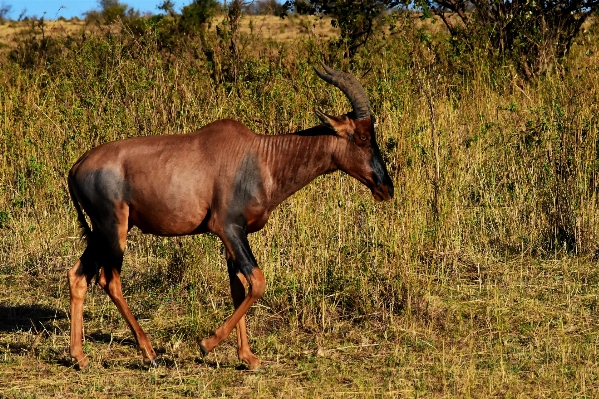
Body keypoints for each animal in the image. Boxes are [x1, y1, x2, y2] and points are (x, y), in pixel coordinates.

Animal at [68, 64, 396, 370]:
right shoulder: (228, 228)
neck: (262, 156)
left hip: (100, 232)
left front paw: (247, 357)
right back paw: (149, 354)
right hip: (115, 229)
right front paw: (206, 344)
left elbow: (239, 288)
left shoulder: (234, 236)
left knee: (78, 274)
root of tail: (76, 167)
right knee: (109, 279)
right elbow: (258, 281)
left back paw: (80, 357)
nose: (386, 188)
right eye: (362, 136)